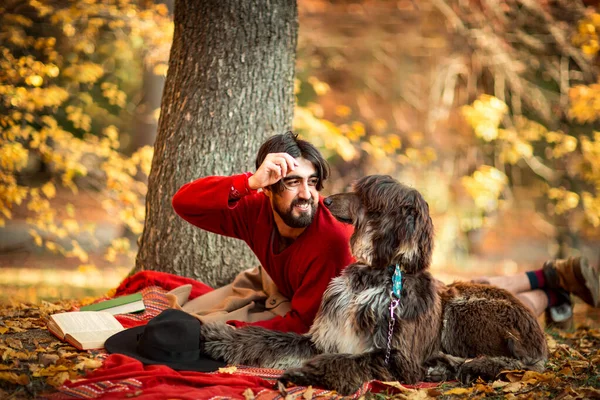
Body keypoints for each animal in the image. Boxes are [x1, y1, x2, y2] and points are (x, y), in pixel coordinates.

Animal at [198, 175, 548, 394]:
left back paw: (445, 366)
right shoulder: (325, 337)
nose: (325, 200)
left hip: (464, 310)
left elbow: (350, 360)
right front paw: (219, 338)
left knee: (510, 362)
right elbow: (268, 339)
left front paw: (304, 373)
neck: (375, 275)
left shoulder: (396, 357)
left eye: (365, 196)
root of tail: (539, 335)